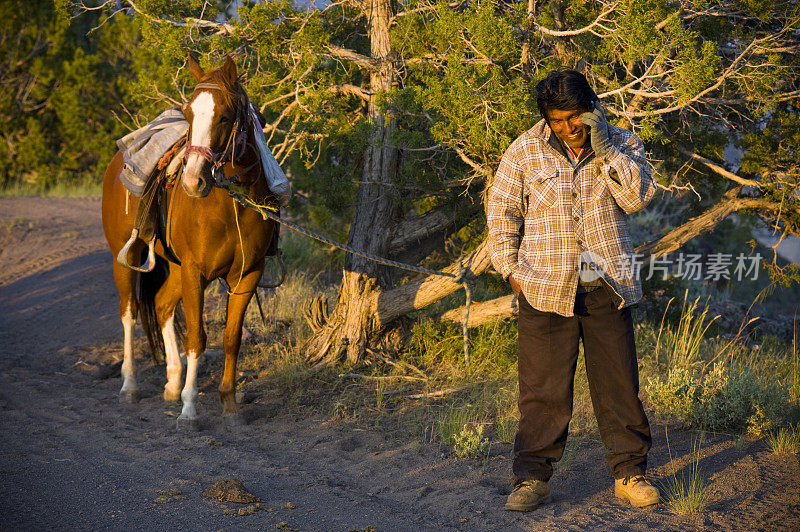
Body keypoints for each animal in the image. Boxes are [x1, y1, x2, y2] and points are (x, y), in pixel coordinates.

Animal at [101, 56, 276, 426]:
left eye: (225, 115)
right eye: (189, 113)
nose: (194, 180)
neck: (232, 204)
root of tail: (118, 161)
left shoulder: (247, 274)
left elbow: (231, 337)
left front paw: (229, 404)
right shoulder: (196, 272)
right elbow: (197, 337)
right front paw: (190, 409)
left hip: (176, 268)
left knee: (162, 305)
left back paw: (171, 381)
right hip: (127, 259)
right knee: (130, 313)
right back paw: (130, 385)